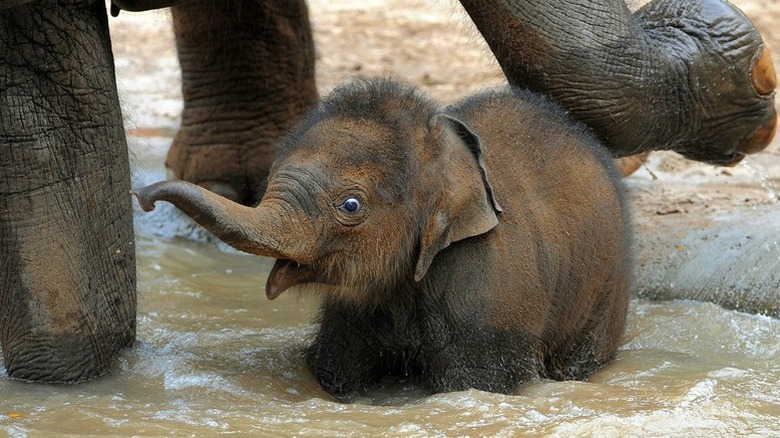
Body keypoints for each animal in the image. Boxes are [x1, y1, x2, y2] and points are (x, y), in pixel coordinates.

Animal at [134, 78, 633, 395]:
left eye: (351, 206)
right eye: (269, 178)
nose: (142, 197)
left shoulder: (489, 298)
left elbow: (475, 382)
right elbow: (335, 368)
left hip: (607, 288)